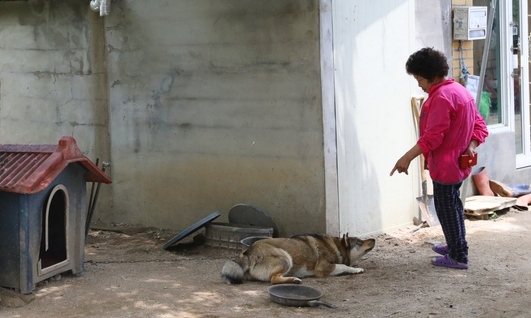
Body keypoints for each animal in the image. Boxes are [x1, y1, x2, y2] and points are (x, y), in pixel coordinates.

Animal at [222, 232, 376, 284]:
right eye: (359, 242)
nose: (373, 239)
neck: (336, 246)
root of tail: (248, 251)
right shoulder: (323, 268)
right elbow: (343, 266)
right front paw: (355, 270)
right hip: (286, 258)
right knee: (273, 280)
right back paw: (294, 279)